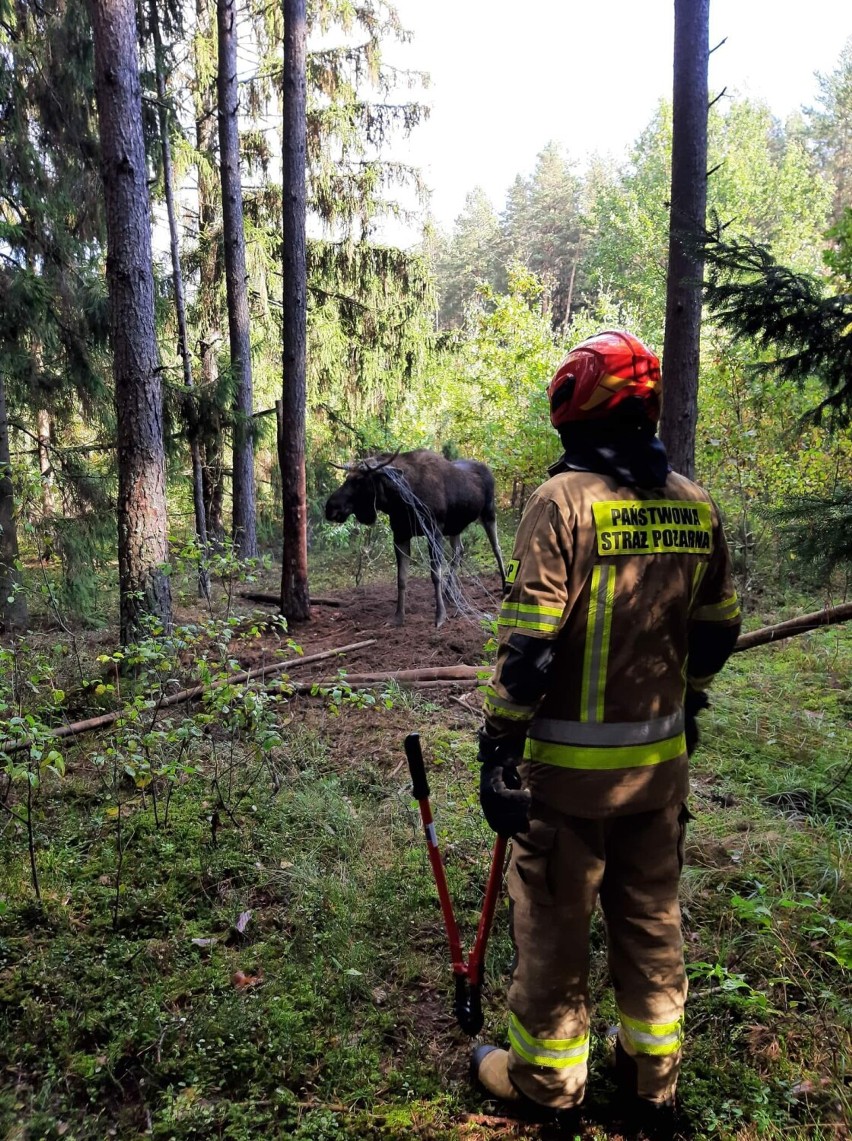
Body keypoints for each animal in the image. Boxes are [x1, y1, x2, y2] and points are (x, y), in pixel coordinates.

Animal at [323, 447, 504, 629]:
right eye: (347, 477)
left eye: (359, 480)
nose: (330, 508)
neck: (400, 499)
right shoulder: (400, 535)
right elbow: (401, 579)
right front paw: (398, 616)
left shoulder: (434, 531)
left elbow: (435, 574)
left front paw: (440, 615)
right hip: (456, 526)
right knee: (459, 552)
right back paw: (449, 593)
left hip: (489, 513)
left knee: (496, 549)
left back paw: (503, 586)